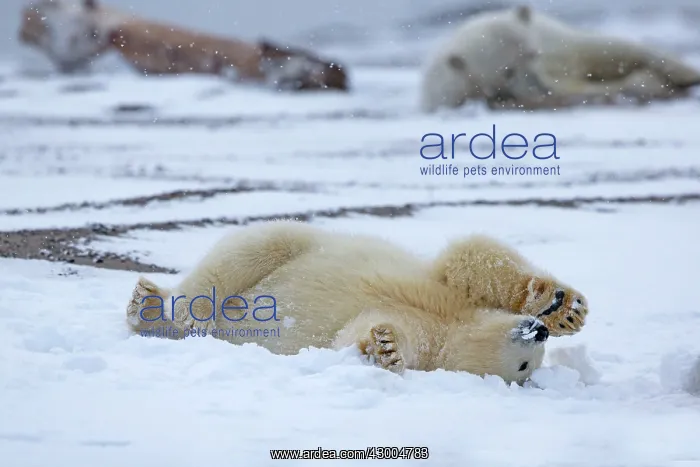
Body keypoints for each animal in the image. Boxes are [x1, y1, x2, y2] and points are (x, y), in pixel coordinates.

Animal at [126, 221, 589, 385]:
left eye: (526, 366)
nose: (538, 331)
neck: (454, 319)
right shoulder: (444, 289)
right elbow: (470, 256)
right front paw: (563, 306)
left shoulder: (431, 338)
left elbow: (354, 333)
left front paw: (385, 347)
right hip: (297, 241)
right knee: (250, 249)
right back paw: (176, 309)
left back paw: (149, 310)